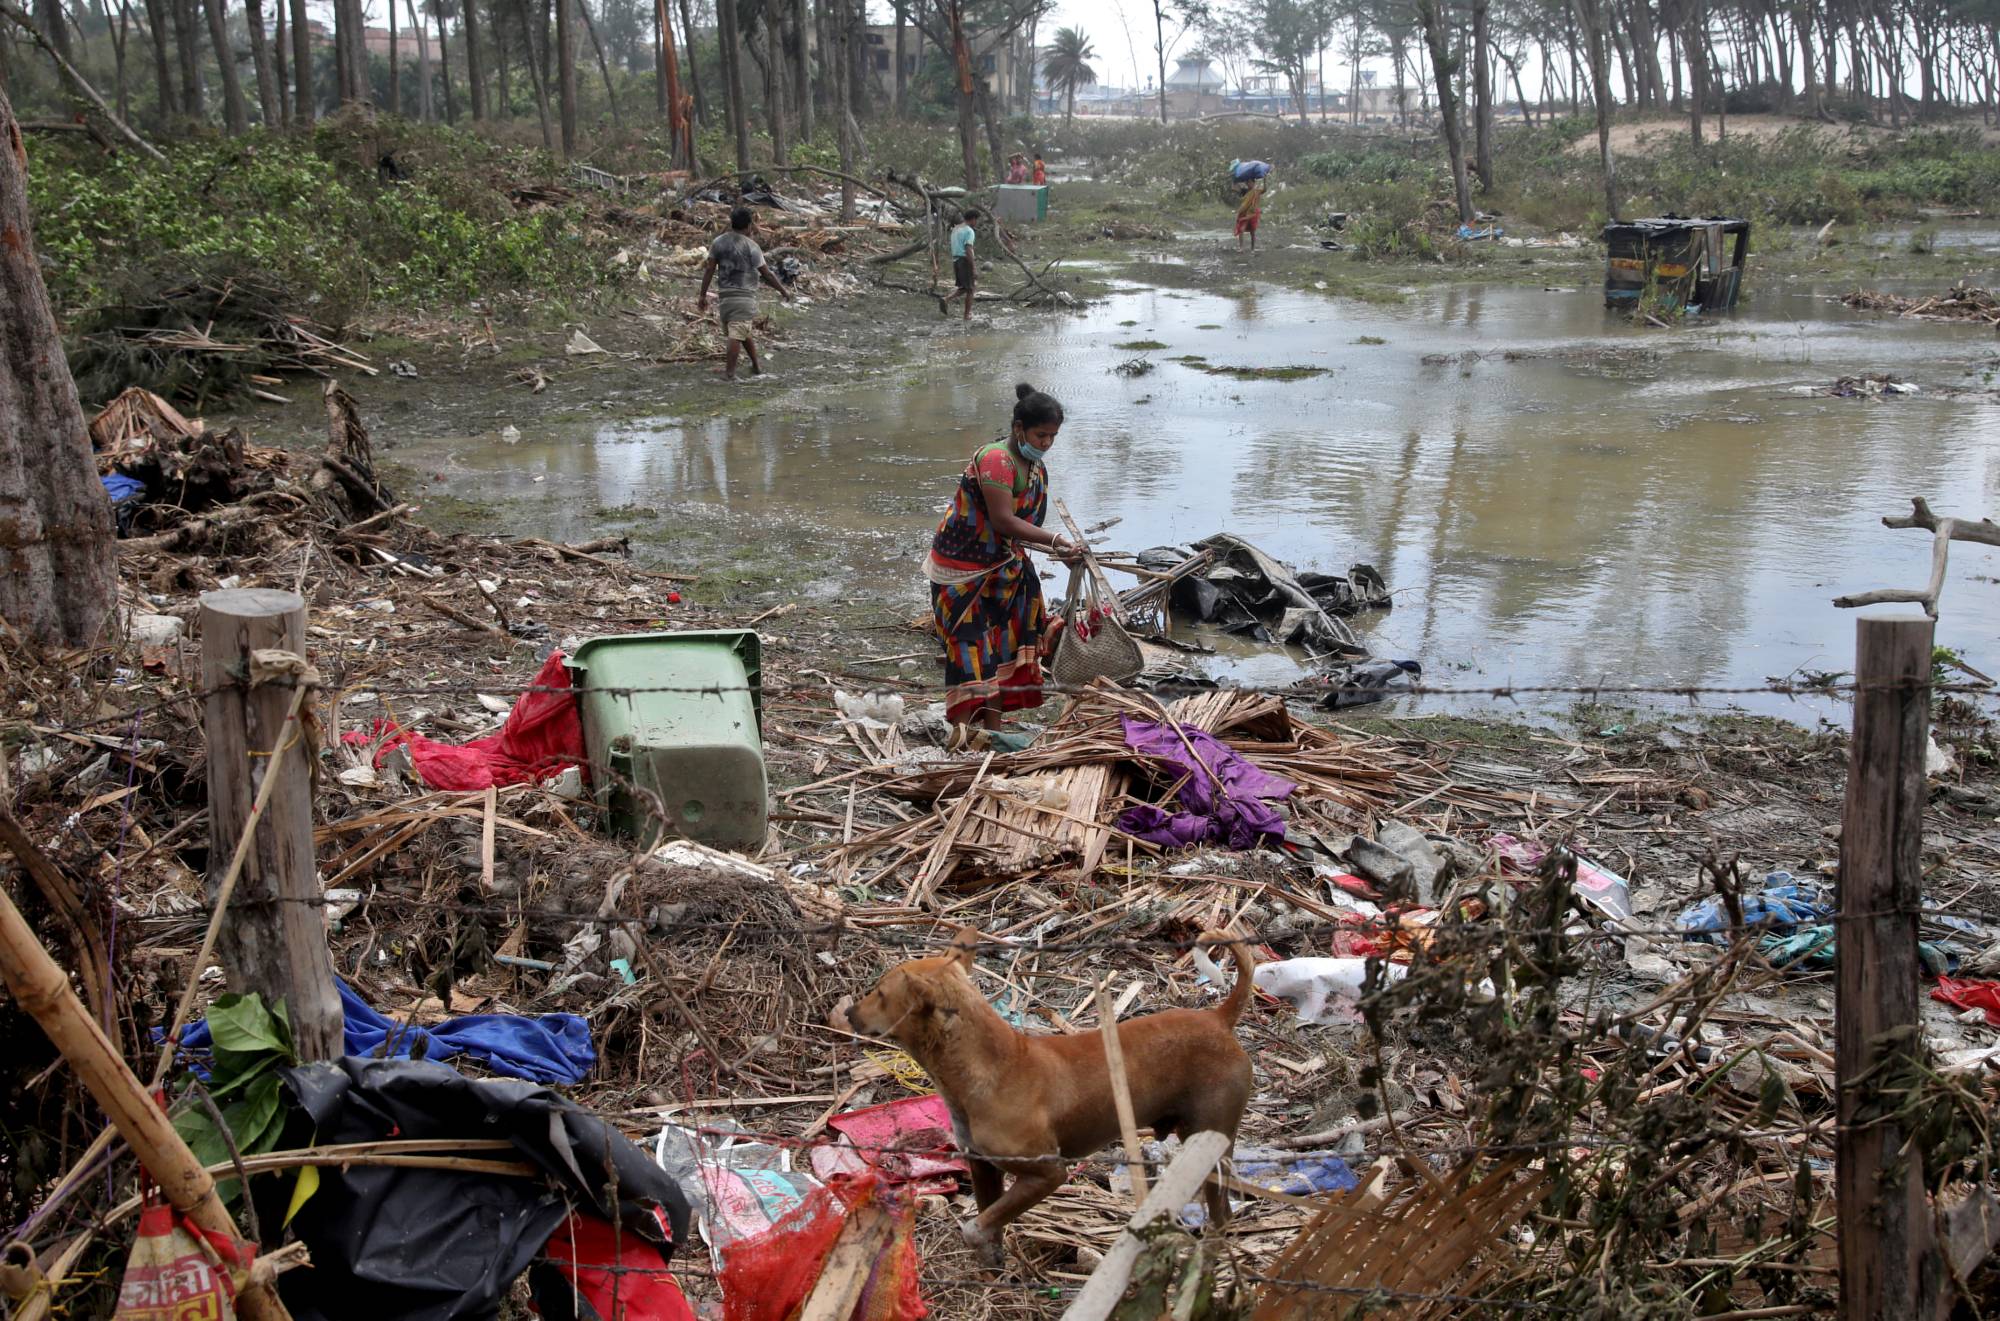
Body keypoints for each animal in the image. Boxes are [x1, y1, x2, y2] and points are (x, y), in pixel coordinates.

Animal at [828, 924, 1248, 1264]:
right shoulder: (982, 1167)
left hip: (1211, 1146)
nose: (848, 1014)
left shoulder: (1047, 1174)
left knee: (1222, 1215)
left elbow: (976, 1227)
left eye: (881, 993)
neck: (990, 1068)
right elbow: (990, 1224)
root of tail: (1218, 1019)